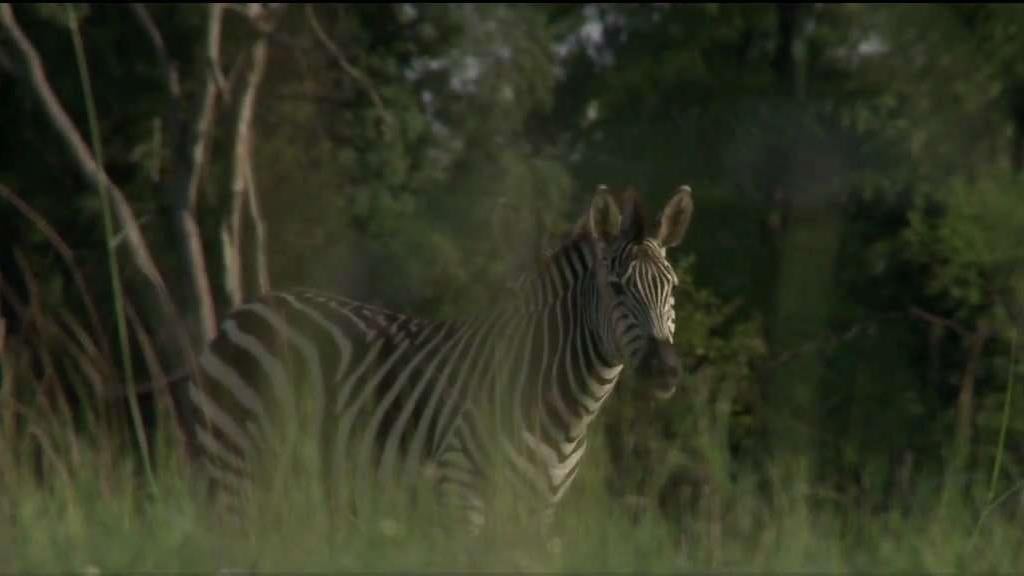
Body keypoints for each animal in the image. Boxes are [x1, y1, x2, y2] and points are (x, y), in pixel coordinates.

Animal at [172, 184, 694, 535]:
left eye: (672, 287)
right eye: (618, 288)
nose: (667, 370)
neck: (563, 409)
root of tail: (243, 312)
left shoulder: (538, 511)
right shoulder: (461, 495)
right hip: (235, 466)